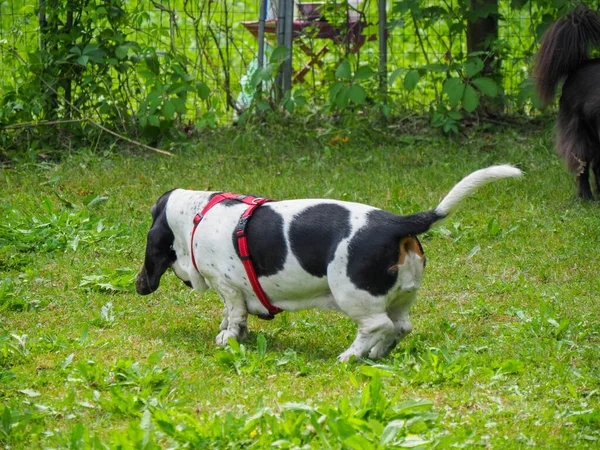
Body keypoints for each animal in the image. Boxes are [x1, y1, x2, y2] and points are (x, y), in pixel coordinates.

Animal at [136, 166, 520, 362]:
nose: (140, 284)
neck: (197, 213)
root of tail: (397, 223)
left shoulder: (228, 287)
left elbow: (233, 315)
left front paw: (228, 338)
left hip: (352, 294)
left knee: (376, 325)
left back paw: (349, 356)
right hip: (400, 298)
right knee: (400, 328)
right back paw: (375, 354)